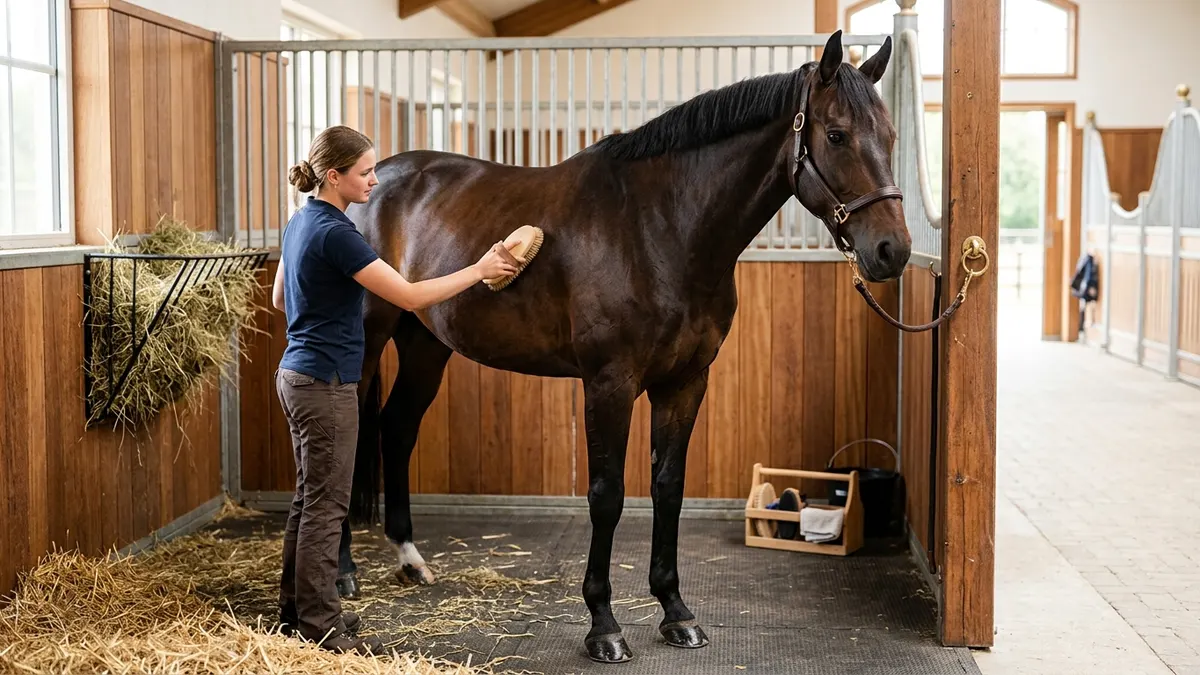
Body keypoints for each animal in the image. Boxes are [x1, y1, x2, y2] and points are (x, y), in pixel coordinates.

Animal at [339, 30, 908, 663]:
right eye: (836, 135)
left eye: (889, 137)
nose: (893, 250)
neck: (661, 228)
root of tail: (375, 181)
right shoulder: (609, 383)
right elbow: (607, 495)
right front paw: (603, 625)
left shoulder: (685, 382)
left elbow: (668, 488)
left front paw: (676, 612)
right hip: (366, 341)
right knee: (349, 436)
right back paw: (345, 574)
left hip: (426, 343)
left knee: (397, 428)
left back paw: (410, 560)